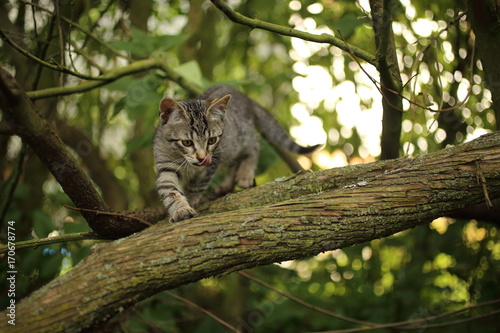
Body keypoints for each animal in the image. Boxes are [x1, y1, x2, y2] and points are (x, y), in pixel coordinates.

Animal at [152, 84, 320, 222]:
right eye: (187, 142)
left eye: (212, 140)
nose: (202, 158)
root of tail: (245, 97)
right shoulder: (166, 166)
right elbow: (169, 190)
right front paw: (180, 209)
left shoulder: (214, 158)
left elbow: (198, 185)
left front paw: (192, 200)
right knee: (234, 162)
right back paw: (226, 185)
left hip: (240, 137)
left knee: (254, 144)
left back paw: (245, 174)